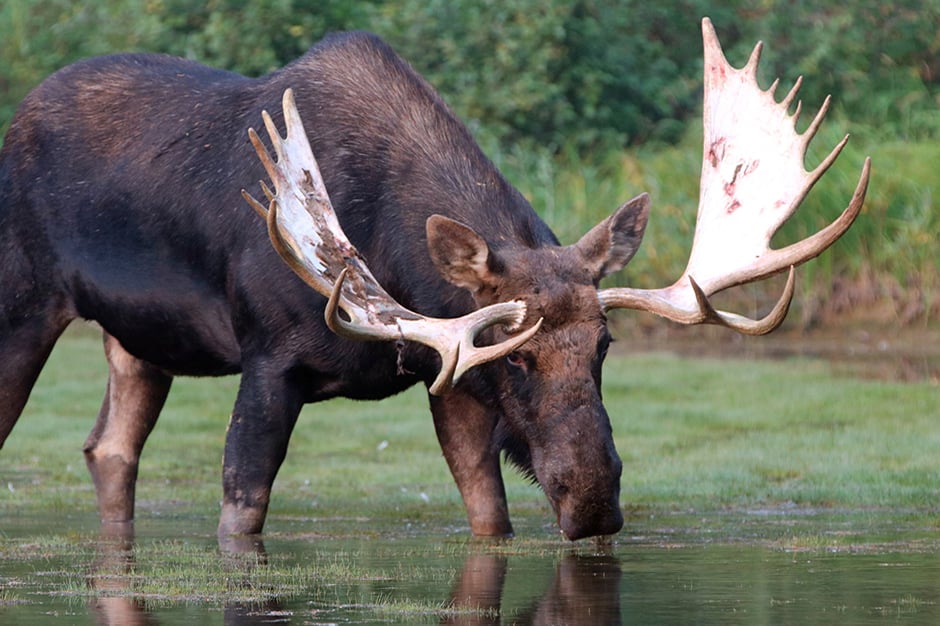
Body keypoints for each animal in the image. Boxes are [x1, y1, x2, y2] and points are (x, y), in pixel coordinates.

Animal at [0, 17, 868, 540]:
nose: (593, 500)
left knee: (109, 447)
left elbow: (488, 516)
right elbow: (241, 512)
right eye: (516, 356)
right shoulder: (270, 362)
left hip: (136, 344)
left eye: (605, 346)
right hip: (23, 305)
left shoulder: (441, 376)